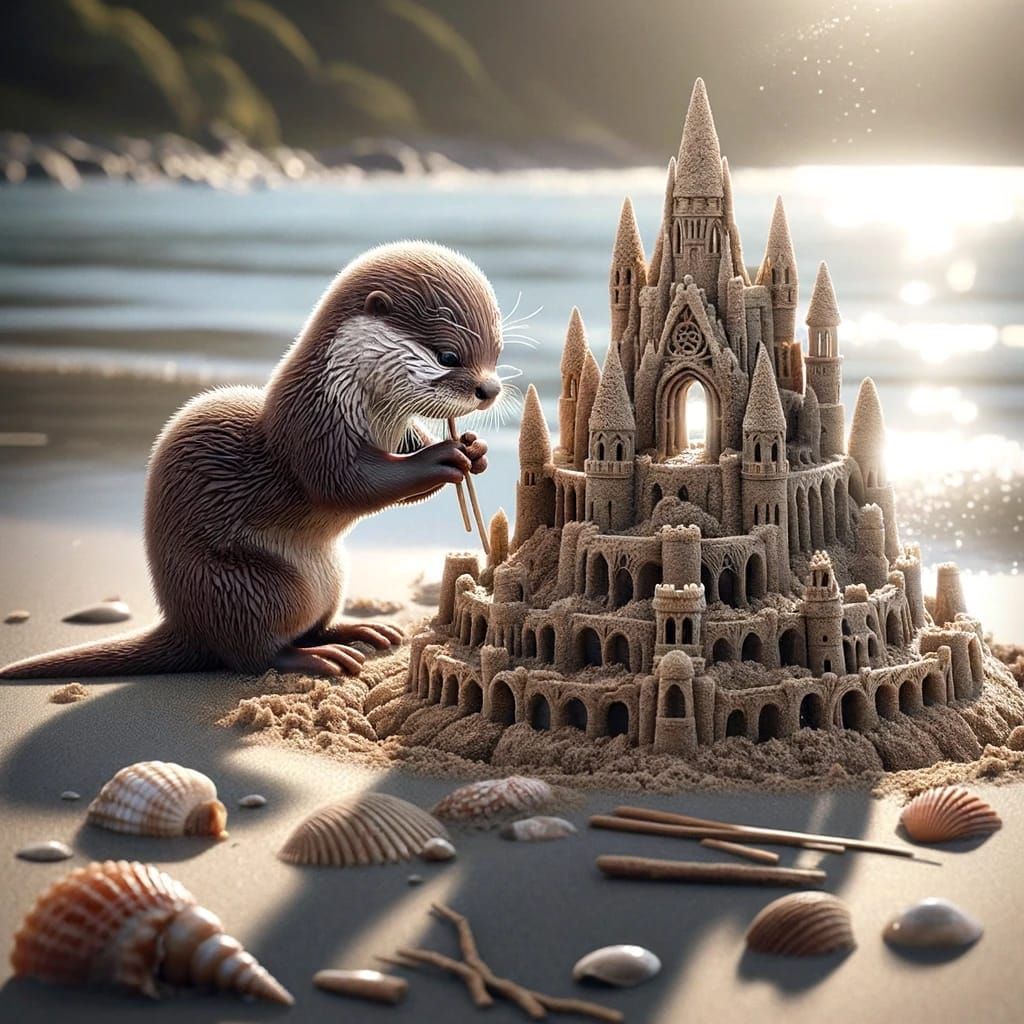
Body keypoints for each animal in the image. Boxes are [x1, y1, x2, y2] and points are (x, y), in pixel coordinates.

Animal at [1, 242, 502, 679]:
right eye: (448, 355)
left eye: (496, 353)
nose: (490, 389)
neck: (350, 399)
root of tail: (183, 622)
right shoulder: (309, 428)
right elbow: (345, 483)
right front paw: (442, 455)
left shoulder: (393, 429)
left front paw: (475, 451)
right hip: (247, 587)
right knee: (252, 652)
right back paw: (318, 658)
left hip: (329, 576)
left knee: (309, 626)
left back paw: (360, 630)